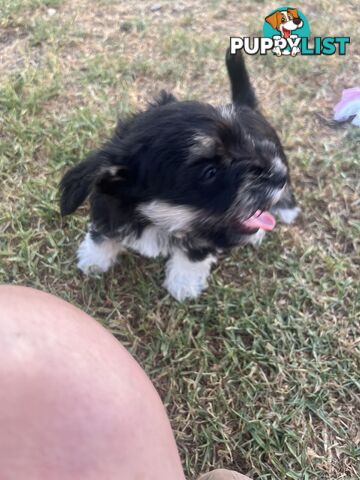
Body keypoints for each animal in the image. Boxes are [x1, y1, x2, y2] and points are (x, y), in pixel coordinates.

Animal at [60, 50, 300, 302]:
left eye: (245, 141)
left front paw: (183, 285)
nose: (279, 176)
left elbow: (193, 255)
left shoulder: (203, 236)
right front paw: (94, 260)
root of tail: (245, 106)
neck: (154, 218)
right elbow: (103, 234)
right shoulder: (107, 206)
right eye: (210, 172)